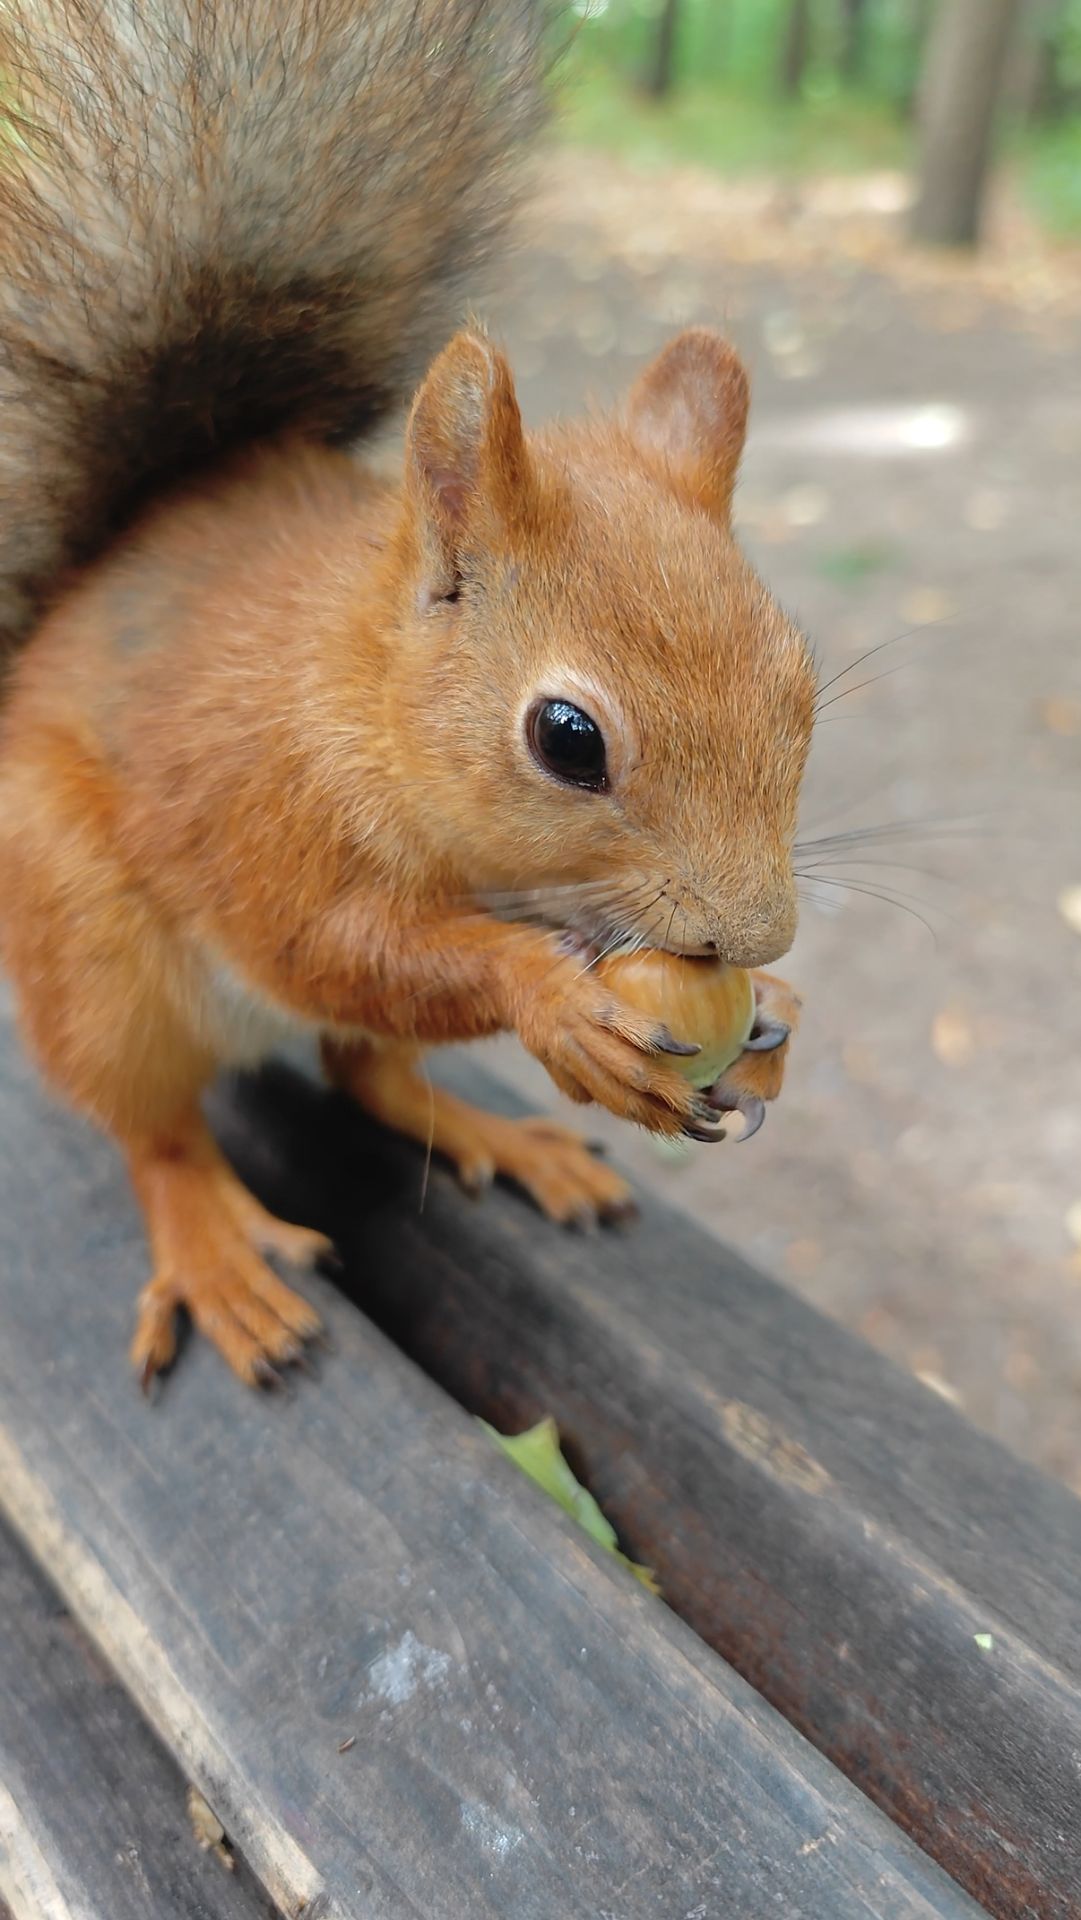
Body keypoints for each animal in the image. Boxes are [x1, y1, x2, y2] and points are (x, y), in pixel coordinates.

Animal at [0, 0, 813, 1390]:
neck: (364, 693)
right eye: (567, 739)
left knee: (365, 1072)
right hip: (87, 945)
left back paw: (503, 1141)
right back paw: (217, 1256)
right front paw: (553, 1000)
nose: (756, 938)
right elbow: (338, 947)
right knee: (157, 1129)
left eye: (800, 682)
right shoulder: (260, 810)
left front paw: (782, 1020)